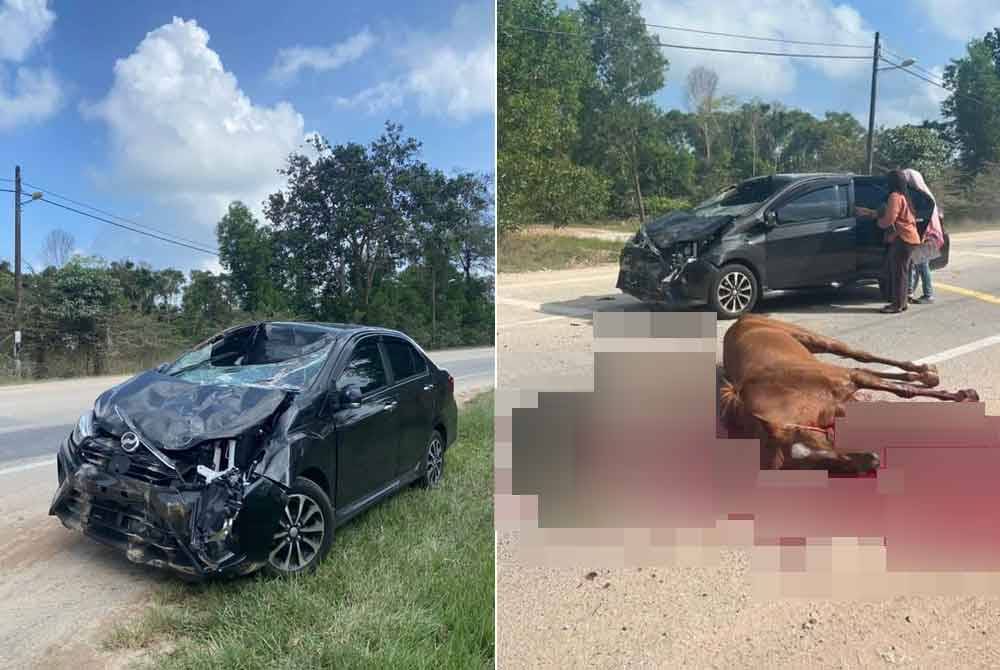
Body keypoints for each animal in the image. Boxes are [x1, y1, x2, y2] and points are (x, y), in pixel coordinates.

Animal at [716, 314, 980, 472]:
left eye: (816, 439)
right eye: (816, 464)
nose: (873, 461)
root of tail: (742, 318)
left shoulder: (850, 380)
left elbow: (905, 393)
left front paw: (964, 396)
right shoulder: (845, 402)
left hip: (815, 341)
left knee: (861, 356)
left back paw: (927, 374)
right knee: (865, 365)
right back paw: (924, 374)